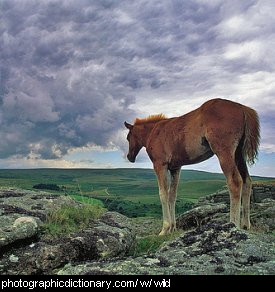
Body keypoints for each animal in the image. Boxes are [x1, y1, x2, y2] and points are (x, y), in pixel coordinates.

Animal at [125, 98, 260, 235]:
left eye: (128, 137)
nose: (129, 157)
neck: (154, 132)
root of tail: (243, 108)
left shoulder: (160, 165)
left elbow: (163, 194)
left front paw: (165, 229)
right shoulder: (175, 168)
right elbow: (172, 195)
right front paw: (173, 228)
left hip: (224, 153)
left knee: (235, 182)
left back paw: (233, 224)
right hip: (239, 154)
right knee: (247, 181)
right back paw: (245, 225)